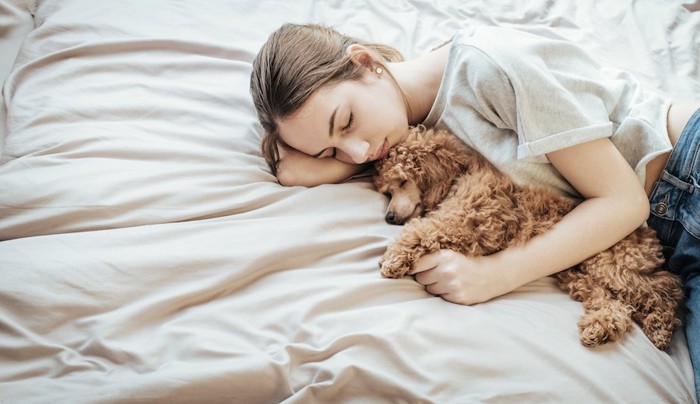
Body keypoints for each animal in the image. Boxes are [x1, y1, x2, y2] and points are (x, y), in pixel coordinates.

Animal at [374, 127, 688, 350]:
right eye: (387, 190)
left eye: (402, 181)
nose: (388, 217)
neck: (458, 177)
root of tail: (647, 238)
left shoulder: (463, 222)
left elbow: (420, 229)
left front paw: (394, 258)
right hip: (578, 275)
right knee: (617, 305)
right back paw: (599, 327)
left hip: (609, 265)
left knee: (666, 287)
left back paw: (660, 327)